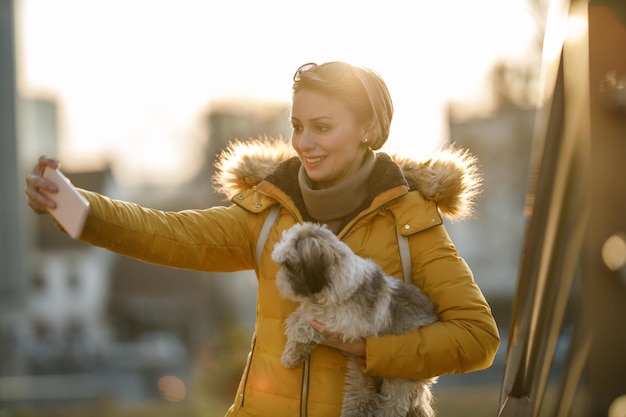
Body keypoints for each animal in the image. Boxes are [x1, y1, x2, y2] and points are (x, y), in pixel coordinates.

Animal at [270, 221, 436, 416]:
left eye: (288, 264)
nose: (279, 279)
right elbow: (299, 318)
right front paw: (292, 353)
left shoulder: (348, 324)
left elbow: (309, 325)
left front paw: (298, 333)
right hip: (359, 380)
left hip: (400, 381)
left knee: (394, 405)